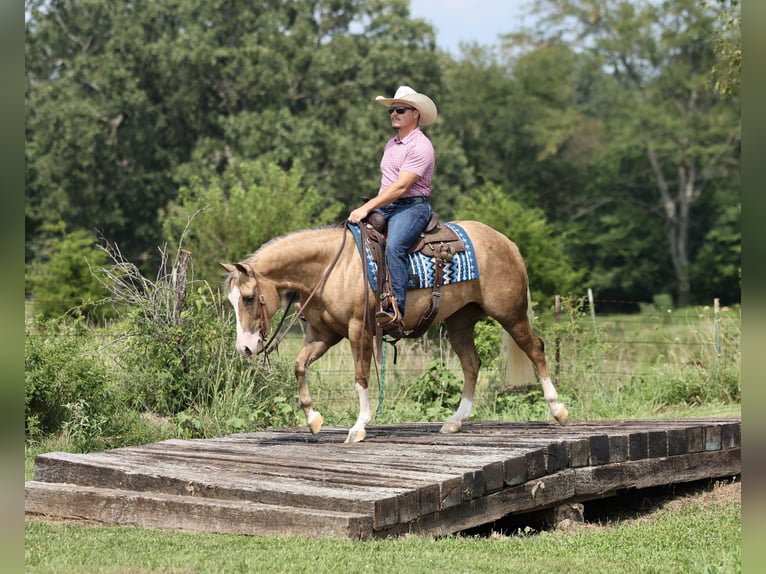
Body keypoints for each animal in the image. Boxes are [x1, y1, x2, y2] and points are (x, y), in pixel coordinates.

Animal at [221, 220, 568, 444]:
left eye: (249, 297)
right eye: (232, 300)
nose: (245, 348)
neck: (331, 268)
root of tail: (505, 241)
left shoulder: (358, 331)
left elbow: (361, 376)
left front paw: (359, 426)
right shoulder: (323, 334)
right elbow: (299, 366)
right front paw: (313, 420)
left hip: (510, 314)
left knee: (536, 349)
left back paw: (559, 411)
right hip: (460, 321)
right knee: (471, 364)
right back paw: (454, 422)